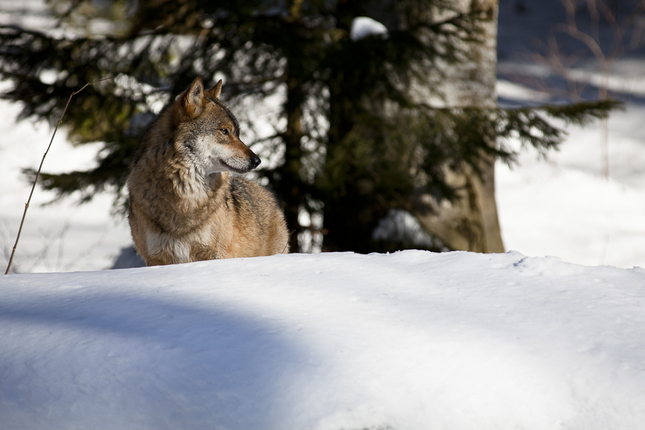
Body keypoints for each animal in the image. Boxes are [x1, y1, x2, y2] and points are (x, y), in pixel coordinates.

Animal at [127, 77, 288, 266]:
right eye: (224, 131)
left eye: (237, 133)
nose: (257, 161)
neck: (185, 198)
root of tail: (267, 193)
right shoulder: (156, 258)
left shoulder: (214, 254)